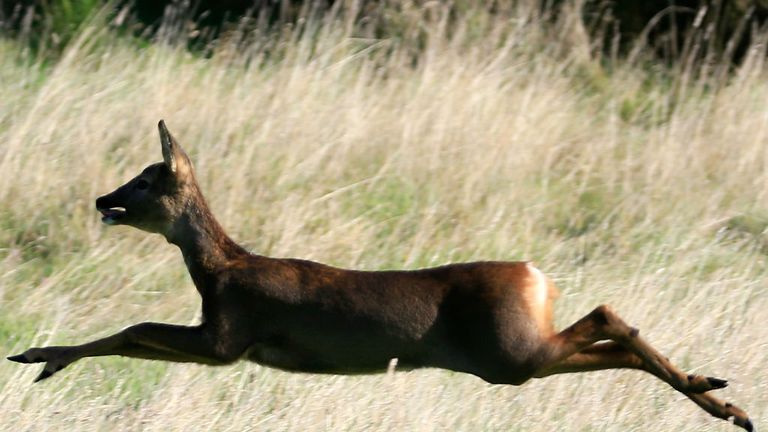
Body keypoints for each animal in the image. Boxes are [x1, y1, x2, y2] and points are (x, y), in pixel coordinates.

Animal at [9, 121, 753, 431]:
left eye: (145, 178)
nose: (101, 199)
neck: (221, 268)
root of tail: (535, 273)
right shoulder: (225, 340)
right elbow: (136, 333)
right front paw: (41, 358)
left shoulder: (229, 337)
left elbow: (135, 326)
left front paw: (39, 355)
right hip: (513, 356)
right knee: (606, 337)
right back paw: (720, 395)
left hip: (510, 350)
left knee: (606, 317)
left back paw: (721, 399)